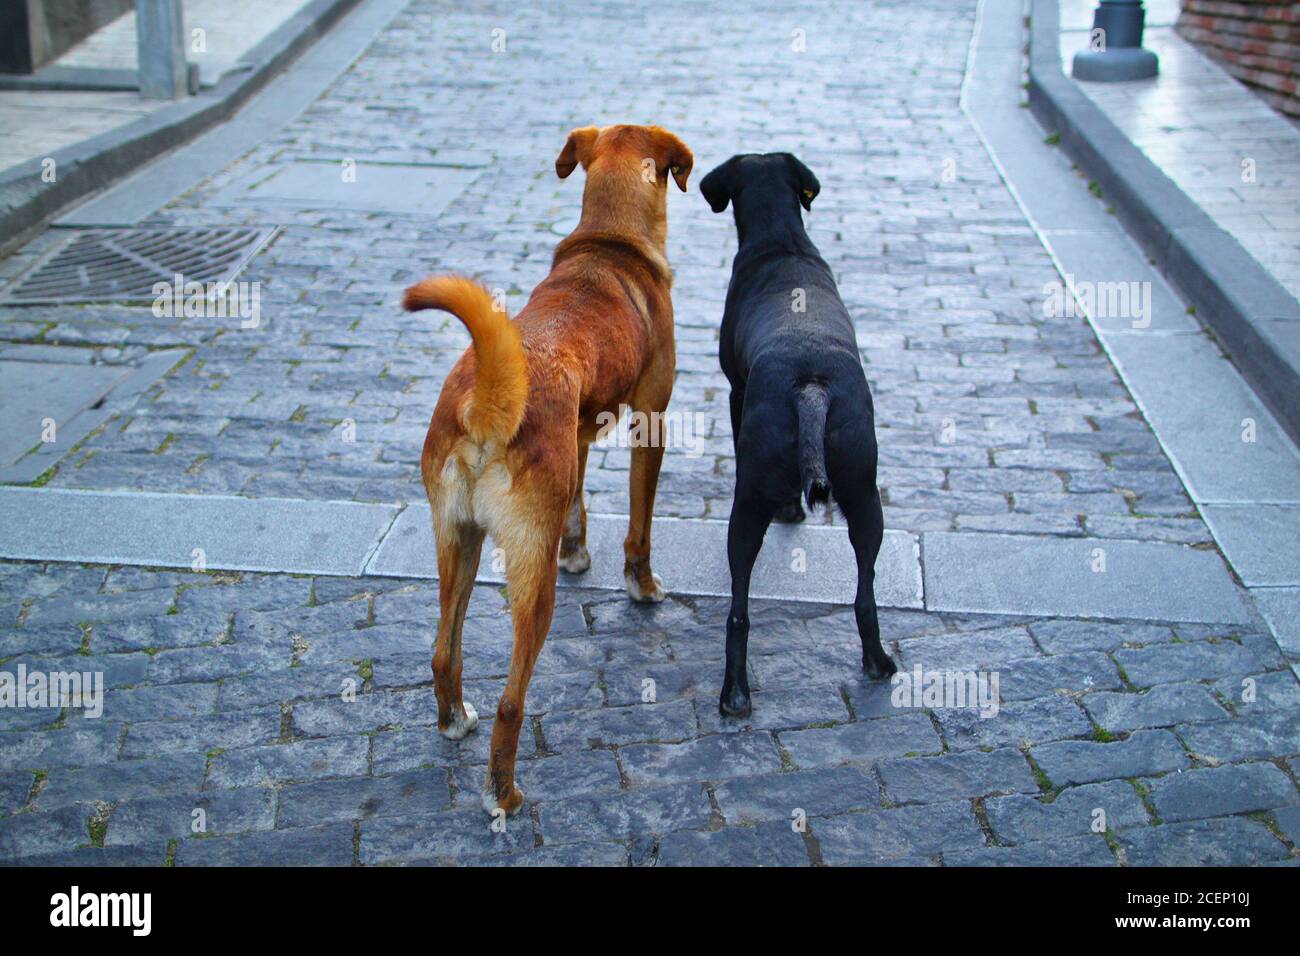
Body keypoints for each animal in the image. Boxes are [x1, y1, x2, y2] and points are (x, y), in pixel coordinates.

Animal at [403, 125, 691, 816]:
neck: (609, 245)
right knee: (511, 701)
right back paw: (502, 794)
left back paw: (453, 721)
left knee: (443, 652)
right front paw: (641, 584)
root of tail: (486, 400)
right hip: (528, 583)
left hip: (457, 541)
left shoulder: (580, 436)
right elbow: (639, 526)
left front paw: (578, 550)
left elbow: (579, 502)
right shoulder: (651, 421)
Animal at [702, 151, 894, 717]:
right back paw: (878, 662)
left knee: (739, 610)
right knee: (865, 594)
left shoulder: (735, 390)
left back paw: (734, 693)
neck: (780, 239)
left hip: (747, 502)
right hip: (865, 492)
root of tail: (811, 385)